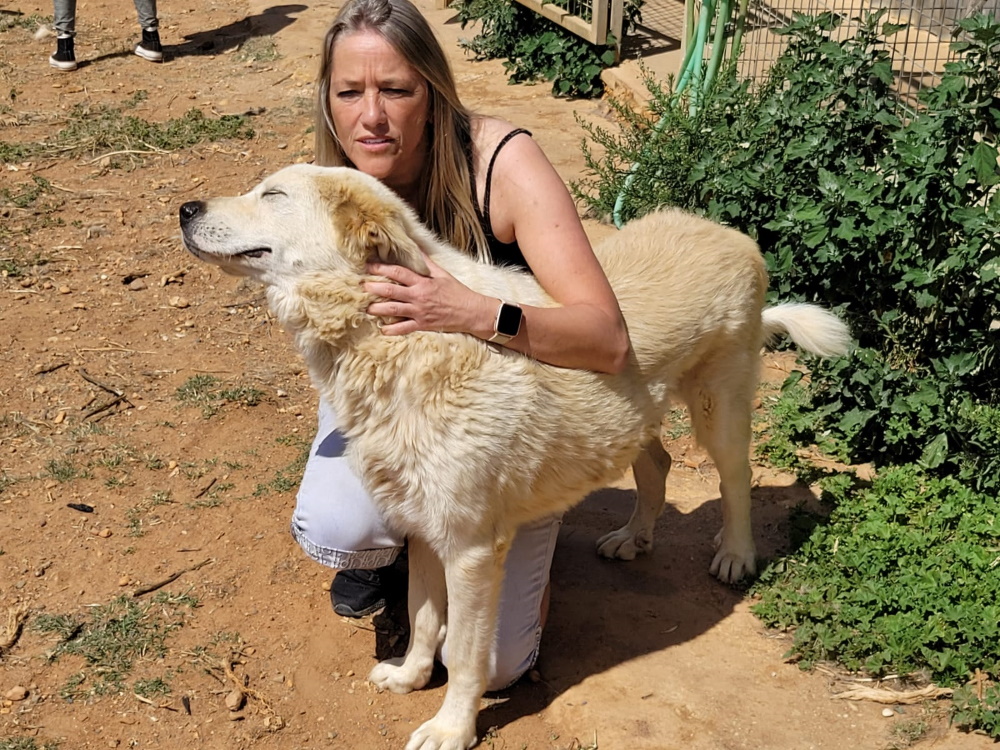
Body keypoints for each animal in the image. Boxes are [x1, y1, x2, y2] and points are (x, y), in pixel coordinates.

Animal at [179, 163, 850, 750]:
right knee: (655, 462)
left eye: (272, 195)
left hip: (720, 409)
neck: (388, 341)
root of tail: (729, 232)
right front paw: (410, 677)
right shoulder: (424, 529)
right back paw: (633, 536)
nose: (185, 209)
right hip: (636, 416)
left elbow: (465, 653)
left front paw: (452, 729)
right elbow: (424, 618)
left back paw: (735, 554)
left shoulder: (472, 549)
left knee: (736, 478)